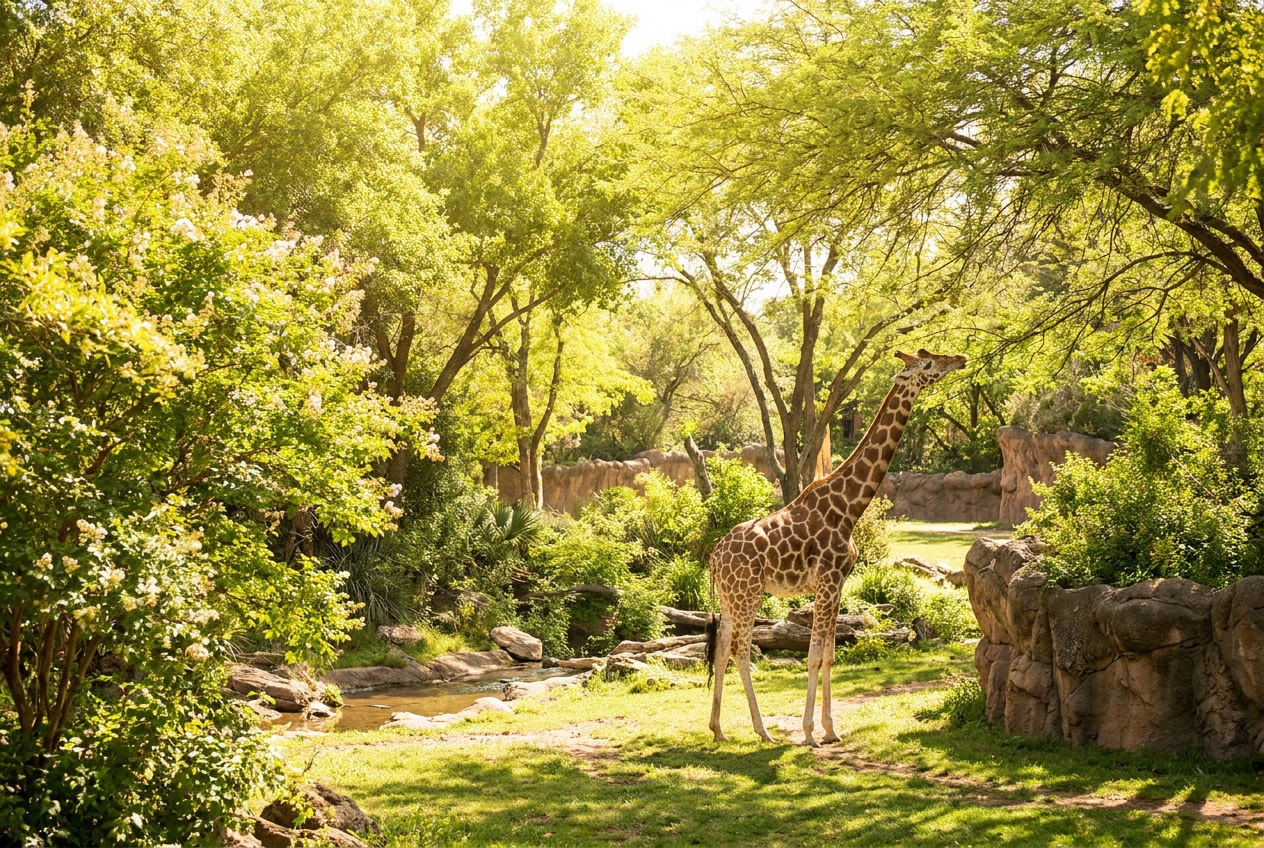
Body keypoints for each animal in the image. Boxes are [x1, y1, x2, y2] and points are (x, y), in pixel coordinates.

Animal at [705, 348, 967, 746]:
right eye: (927, 365)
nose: (960, 359)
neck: (849, 507)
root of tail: (714, 557)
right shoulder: (827, 581)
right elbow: (814, 655)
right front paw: (810, 733)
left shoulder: (839, 582)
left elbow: (829, 654)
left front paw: (831, 729)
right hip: (748, 593)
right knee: (739, 650)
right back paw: (763, 731)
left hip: (730, 596)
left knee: (721, 650)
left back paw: (718, 730)